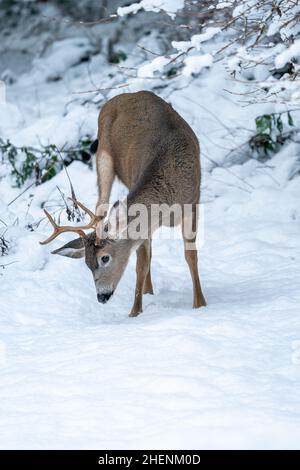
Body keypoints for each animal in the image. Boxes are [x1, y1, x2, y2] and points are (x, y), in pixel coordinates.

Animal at [40, 91, 206, 316]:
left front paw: (200, 304)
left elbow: (190, 256)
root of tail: (124, 95)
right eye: (87, 264)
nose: (101, 297)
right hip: (103, 158)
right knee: (101, 208)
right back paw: (148, 292)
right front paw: (135, 313)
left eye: (104, 258)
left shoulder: (192, 204)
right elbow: (141, 265)